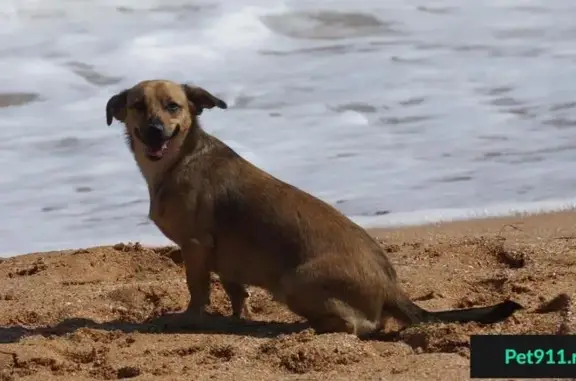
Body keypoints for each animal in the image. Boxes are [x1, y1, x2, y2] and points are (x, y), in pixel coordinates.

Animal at [103, 78, 520, 334]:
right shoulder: (224, 259)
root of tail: (391, 287)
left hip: (294, 283)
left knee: (359, 327)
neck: (179, 159)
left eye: (173, 107)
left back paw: (308, 327)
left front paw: (189, 319)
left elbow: (197, 292)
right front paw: (239, 318)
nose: (155, 131)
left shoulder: (196, 247)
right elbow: (237, 293)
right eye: (137, 106)